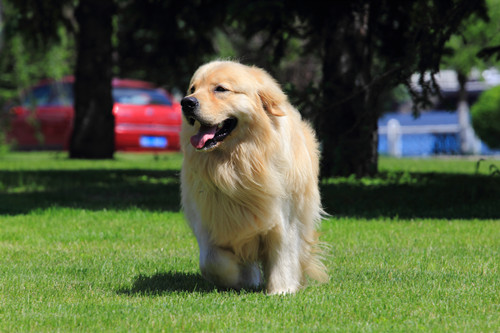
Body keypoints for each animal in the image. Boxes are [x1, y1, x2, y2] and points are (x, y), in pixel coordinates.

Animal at [181, 60, 328, 294]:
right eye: (192, 89)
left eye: (220, 89)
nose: (186, 102)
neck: (238, 164)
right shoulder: (209, 220)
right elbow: (211, 261)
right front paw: (240, 277)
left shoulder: (284, 218)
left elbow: (283, 255)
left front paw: (281, 290)